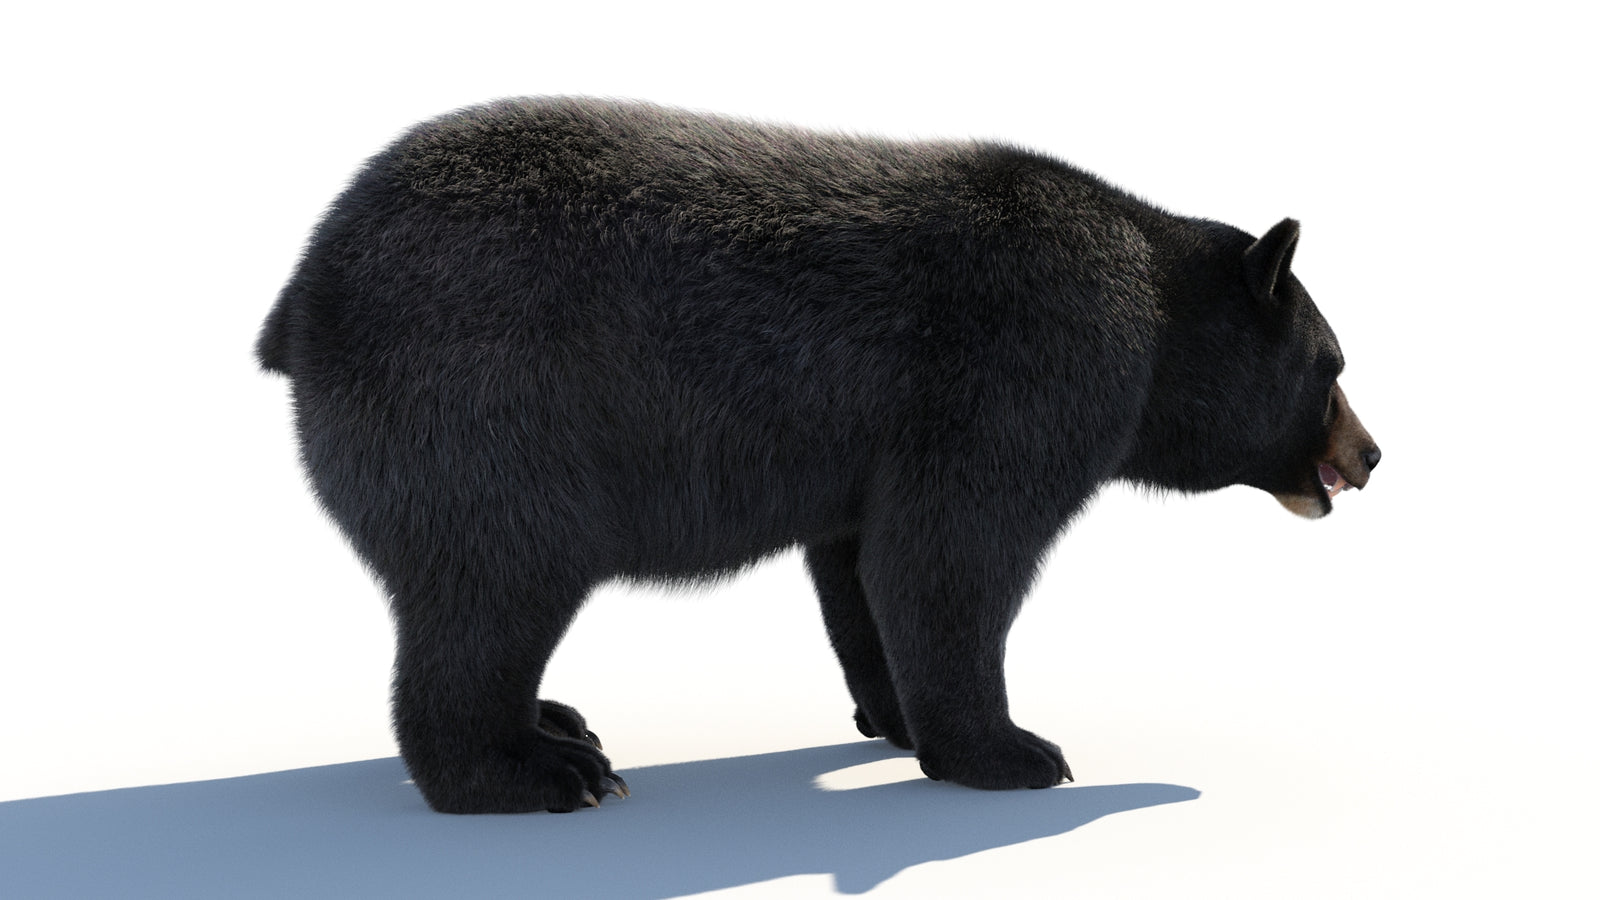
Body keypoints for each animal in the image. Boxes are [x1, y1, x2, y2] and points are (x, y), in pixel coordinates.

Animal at [257, 97, 1380, 814]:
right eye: (1331, 364)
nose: (1371, 455)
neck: (1149, 305)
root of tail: (301, 294)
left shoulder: (876, 447)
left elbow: (860, 567)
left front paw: (896, 719)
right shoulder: (1032, 355)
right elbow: (953, 552)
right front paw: (1014, 752)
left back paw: (558, 720)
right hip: (482, 406)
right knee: (493, 579)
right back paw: (533, 772)